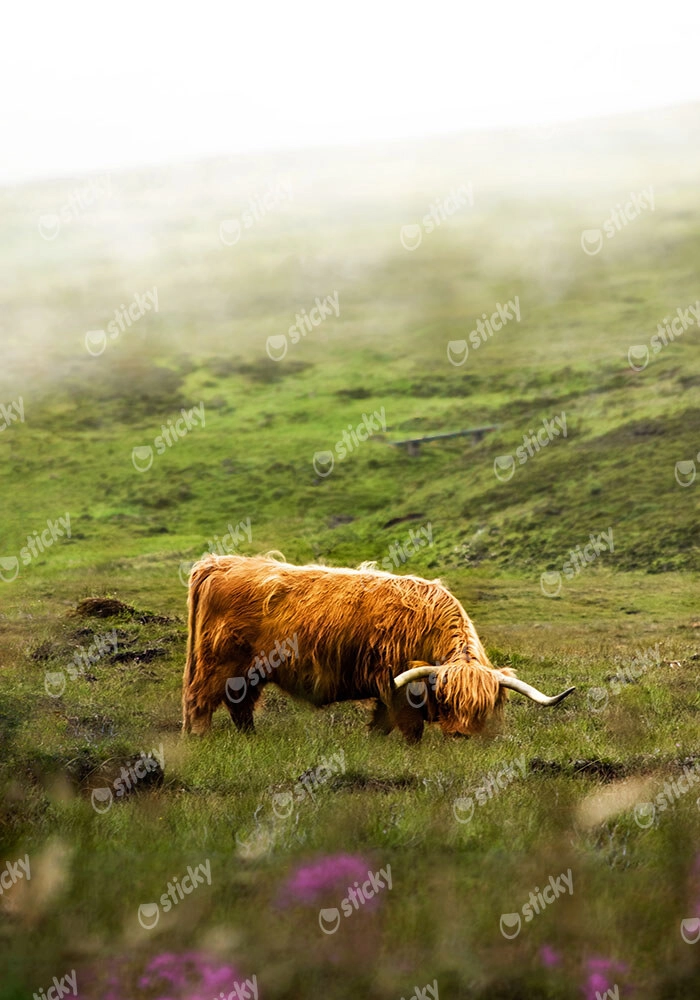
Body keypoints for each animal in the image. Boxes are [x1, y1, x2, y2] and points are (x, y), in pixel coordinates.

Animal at [182, 553, 574, 743]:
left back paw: (250, 738)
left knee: (241, 705)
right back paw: (202, 738)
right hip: (219, 664)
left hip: (249, 672)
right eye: (447, 701)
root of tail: (218, 563)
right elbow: (409, 729)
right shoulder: (398, 686)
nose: (460, 737)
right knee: (200, 700)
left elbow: (381, 724)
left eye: (480, 708)